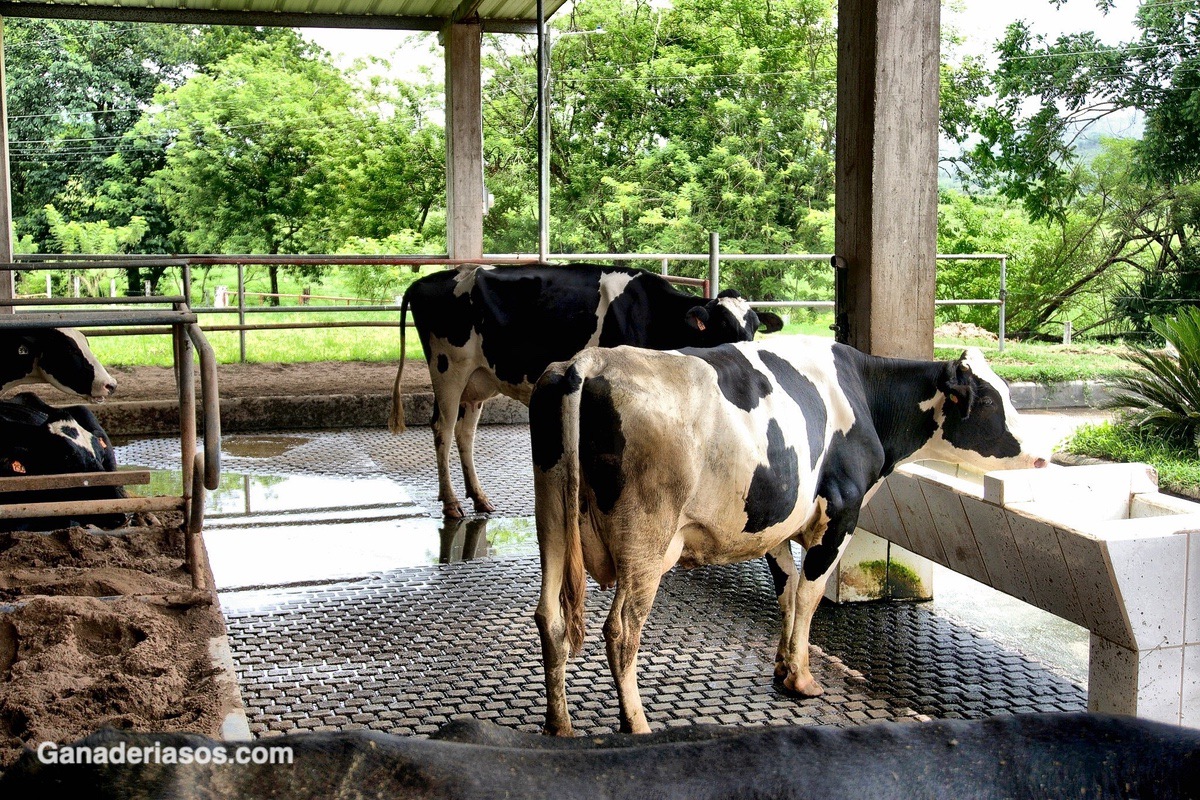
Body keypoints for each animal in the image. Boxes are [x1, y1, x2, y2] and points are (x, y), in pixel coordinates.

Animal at [388, 262, 782, 520]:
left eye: (754, 326)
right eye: (721, 326)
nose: (749, 359)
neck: (652, 314)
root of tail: (427, 280)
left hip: (477, 380)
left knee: (465, 433)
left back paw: (479, 497)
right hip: (448, 370)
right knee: (442, 429)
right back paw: (451, 502)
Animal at [530, 335, 1046, 734]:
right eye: (989, 401)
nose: (1041, 454)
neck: (866, 395)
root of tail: (589, 362)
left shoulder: (777, 523)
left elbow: (786, 592)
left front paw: (781, 667)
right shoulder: (839, 515)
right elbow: (809, 596)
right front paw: (800, 678)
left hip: (551, 520)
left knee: (550, 618)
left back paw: (560, 724)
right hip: (646, 536)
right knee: (621, 630)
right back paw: (635, 723)